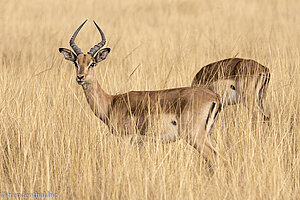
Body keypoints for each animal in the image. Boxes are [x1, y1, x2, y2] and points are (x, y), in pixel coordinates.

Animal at [59, 19, 223, 164]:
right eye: (76, 62)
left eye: (92, 63)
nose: (80, 77)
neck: (111, 102)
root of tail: (214, 97)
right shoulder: (140, 143)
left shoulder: (124, 139)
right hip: (207, 134)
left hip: (194, 136)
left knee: (213, 156)